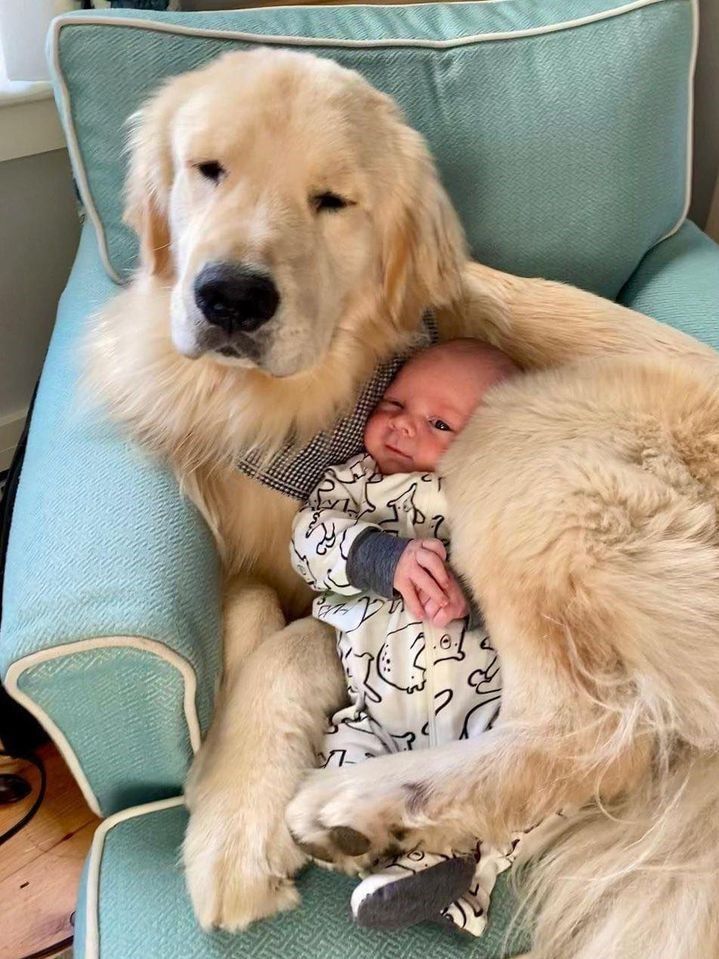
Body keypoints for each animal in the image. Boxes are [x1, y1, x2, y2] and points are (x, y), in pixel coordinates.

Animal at [87, 48, 719, 959]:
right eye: (209, 169)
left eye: (331, 201)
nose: (231, 297)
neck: (282, 409)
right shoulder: (248, 545)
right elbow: (246, 606)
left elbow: (296, 641)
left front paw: (235, 824)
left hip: (519, 441)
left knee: (597, 730)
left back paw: (370, 806)